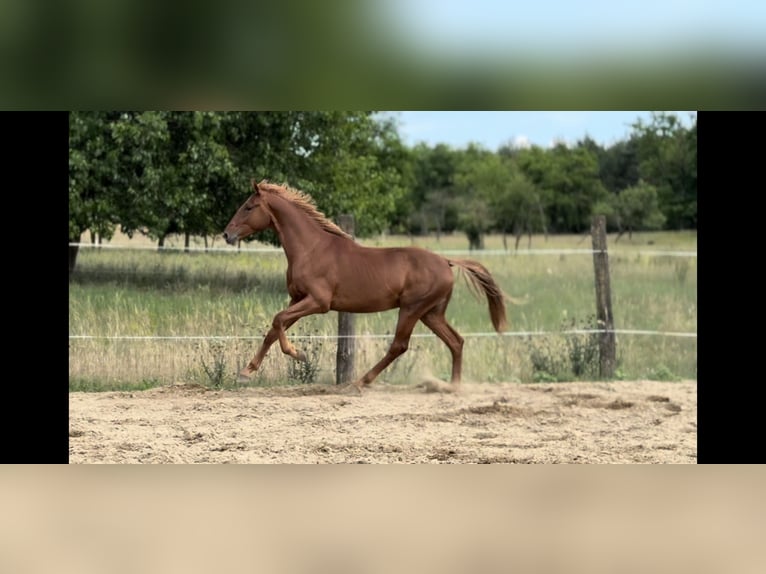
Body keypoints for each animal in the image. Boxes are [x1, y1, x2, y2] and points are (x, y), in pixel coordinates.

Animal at [224, 182, 510, 394]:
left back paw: (360, 382)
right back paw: (453, 387)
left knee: (399, 346)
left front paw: (299, 354)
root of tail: (447, 261)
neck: (311, 249)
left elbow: (278, 320)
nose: (227, 235)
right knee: (456, 341)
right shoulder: (297, 298)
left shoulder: (318, 302)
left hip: (412, 309)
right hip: (431, 313)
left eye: (248, 207)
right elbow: (274, 329)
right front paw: (246, 372)